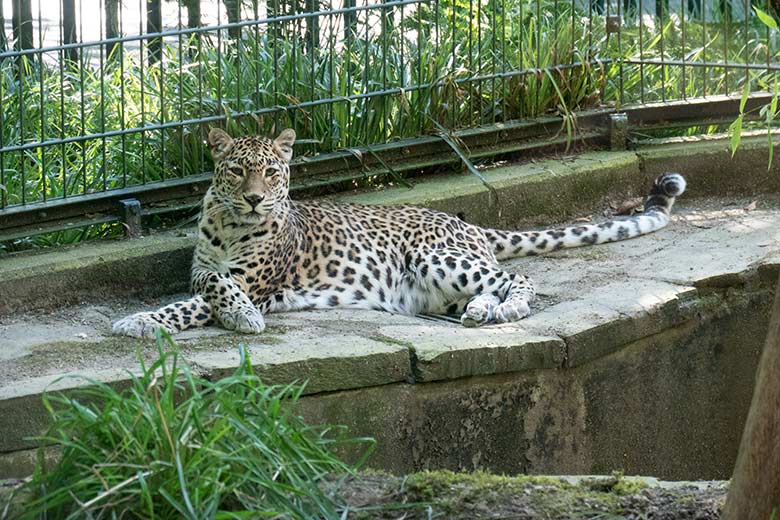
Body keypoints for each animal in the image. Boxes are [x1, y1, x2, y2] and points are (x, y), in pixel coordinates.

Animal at [111, 128, 688, 340]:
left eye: (271, 172)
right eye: (236, 171)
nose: (254, 197)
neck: (233, 224)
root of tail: (464, 221)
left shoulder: (255, 281)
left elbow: (204, 299)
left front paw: (143, 321)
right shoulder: (204, 269)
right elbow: (207, 283)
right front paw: (147, 318)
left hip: (437, 257)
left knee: (517, 278)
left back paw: (507, 309)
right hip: (436, 290)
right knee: (486, 289)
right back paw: (482, 312)